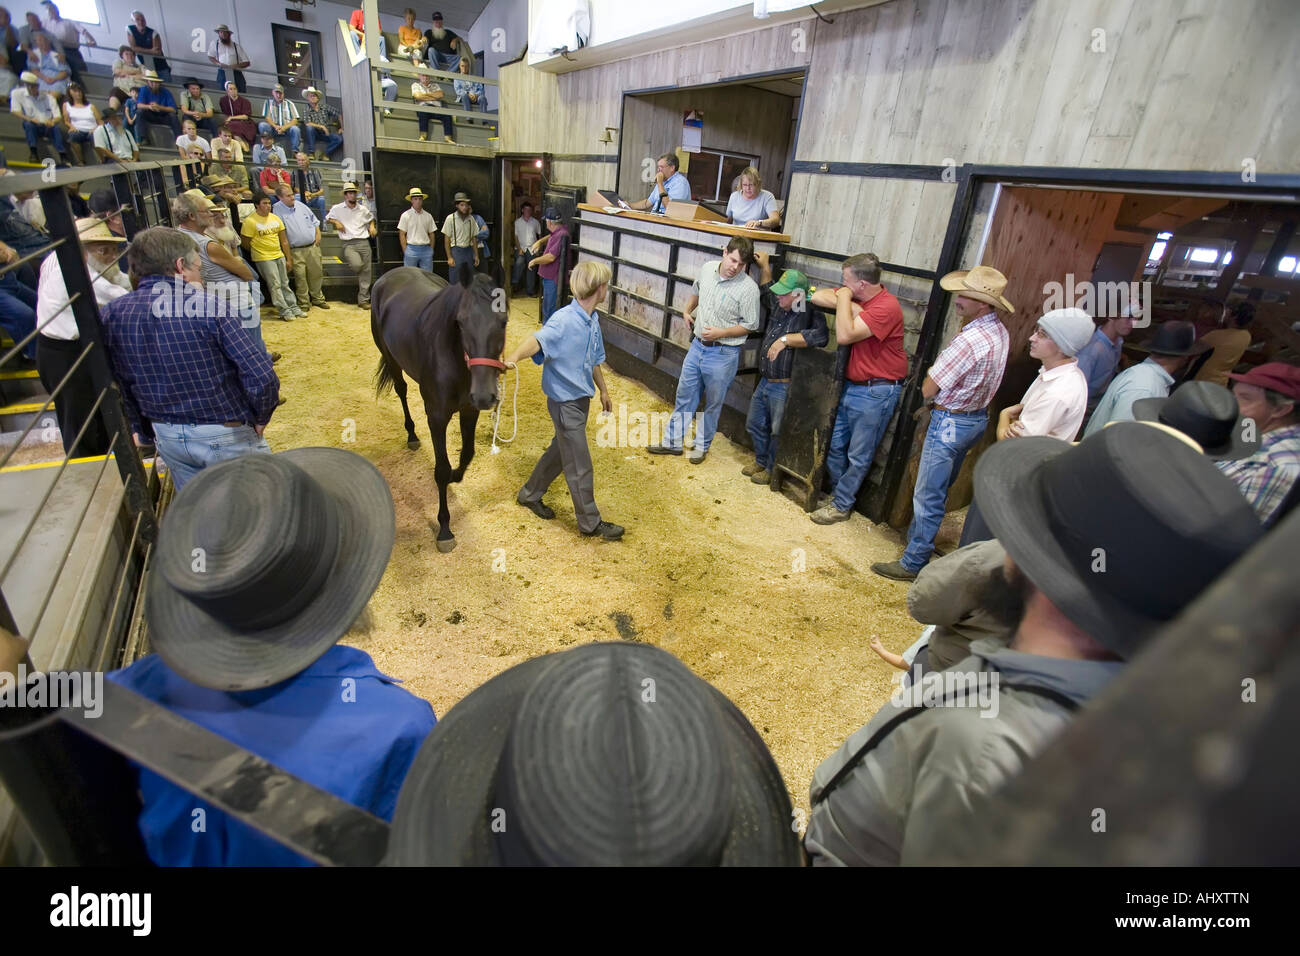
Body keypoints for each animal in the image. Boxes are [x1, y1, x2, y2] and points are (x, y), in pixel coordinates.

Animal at [371, 267, 506, 554]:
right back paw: (411, 435)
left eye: (503, 321)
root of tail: (389, 274)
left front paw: (457, 474)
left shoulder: (469, 410)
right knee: (401, 390)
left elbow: (467, 454)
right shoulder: (436, 417)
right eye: (461, 322)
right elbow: (441, 470)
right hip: (391, 359)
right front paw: (444, 529)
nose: (485, 395)